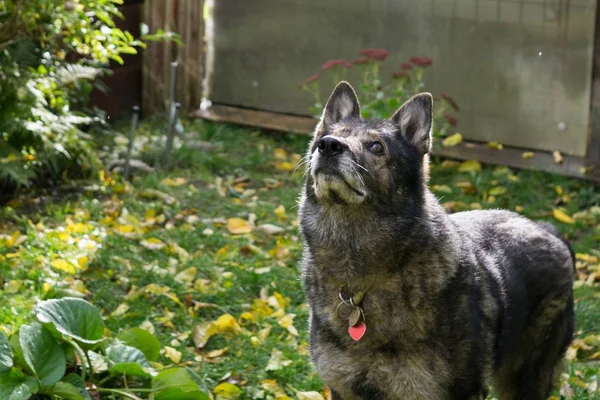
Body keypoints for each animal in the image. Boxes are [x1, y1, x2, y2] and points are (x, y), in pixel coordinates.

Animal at [298, 82, 576, 400]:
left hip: (527, 380)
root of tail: (549, 231)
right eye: (327, 137)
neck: (361, 283)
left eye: (377, 147)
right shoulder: (343, 389)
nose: (329, 145)